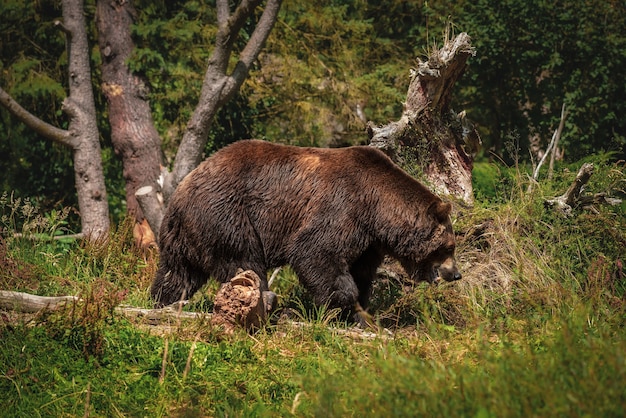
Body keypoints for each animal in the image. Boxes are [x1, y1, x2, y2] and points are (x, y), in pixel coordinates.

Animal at [151, 139, 458, 324]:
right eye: (448, 247)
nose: (456, 274)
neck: (377, 208)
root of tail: (181, 190)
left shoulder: (368, 241)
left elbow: (361, 272)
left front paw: (362, 314)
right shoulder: (343, 206)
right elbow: (315, 252)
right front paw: (339, 306)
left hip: (185, 235)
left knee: (177, 273)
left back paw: (161, 301)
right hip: (227, 215)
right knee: (244, 262)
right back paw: (268, 301)